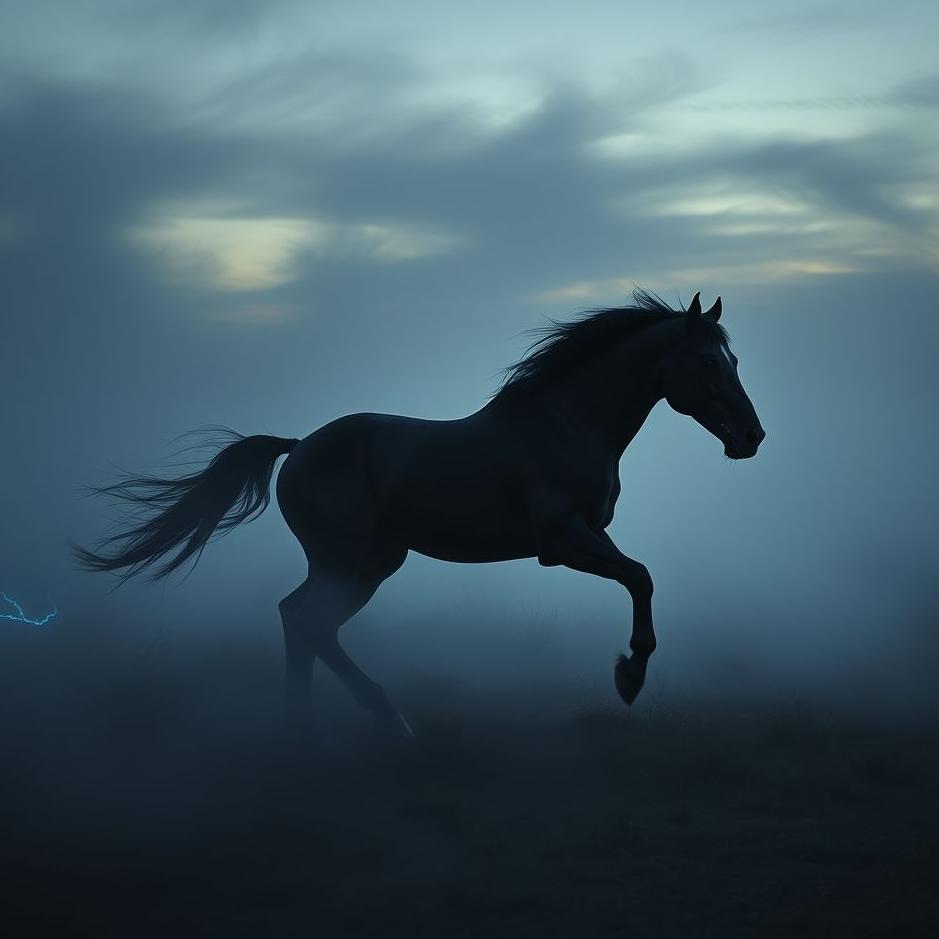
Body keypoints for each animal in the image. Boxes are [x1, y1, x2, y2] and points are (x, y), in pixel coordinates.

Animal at [74, 289, 765, 737]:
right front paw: (629, 677)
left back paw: (311, 727)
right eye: (709, 362)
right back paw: (380, 719)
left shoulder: (584, 539)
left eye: (735, 360)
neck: (568, 423)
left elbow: (639, 577)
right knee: (307, 622)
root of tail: (299, 448)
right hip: (350, 562)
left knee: (302, 621)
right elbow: (641, 577)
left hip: (370, 564)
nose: (751, 436)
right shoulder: (564, 541)